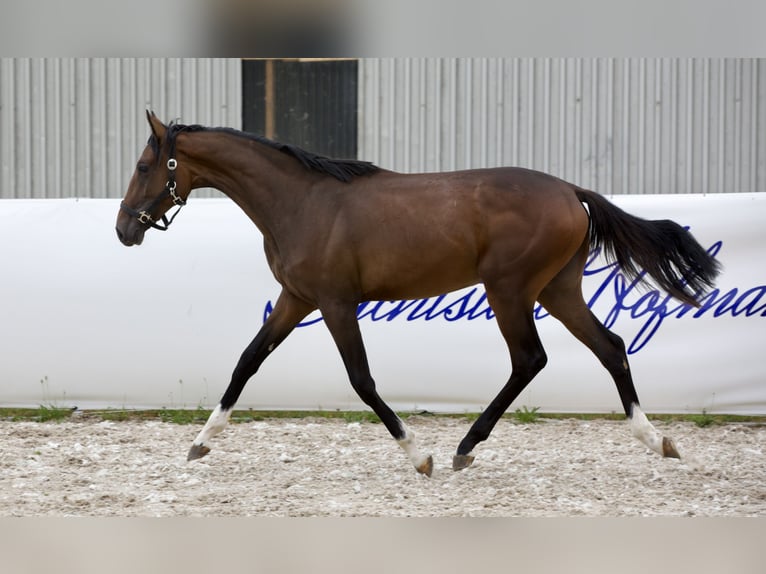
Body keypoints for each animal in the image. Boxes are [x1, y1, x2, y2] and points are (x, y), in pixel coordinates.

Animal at [114, 111, 720, 476]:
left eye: (144, 165)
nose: (123, 229)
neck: (302, 202)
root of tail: (571, 191)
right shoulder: (296, 299)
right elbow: (246, 362)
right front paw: (201, 442)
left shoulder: (335, 303)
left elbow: (361, 380)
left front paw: (418, 454)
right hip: (558, 290)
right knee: (610, 347)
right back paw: (656, 441)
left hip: (510, 290)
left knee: (531, 359)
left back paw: (464, 448)